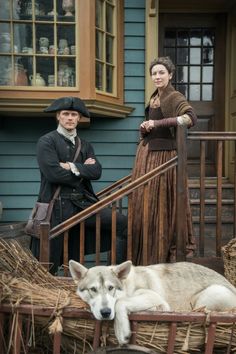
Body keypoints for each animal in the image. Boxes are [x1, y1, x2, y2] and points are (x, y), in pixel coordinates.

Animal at [68, 258, 236, 344]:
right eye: (93, 289)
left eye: (111, 288)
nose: (105, 312)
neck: (128, 285)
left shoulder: (155, 297)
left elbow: (120, 303)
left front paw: (122, 330)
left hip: (207, 295)